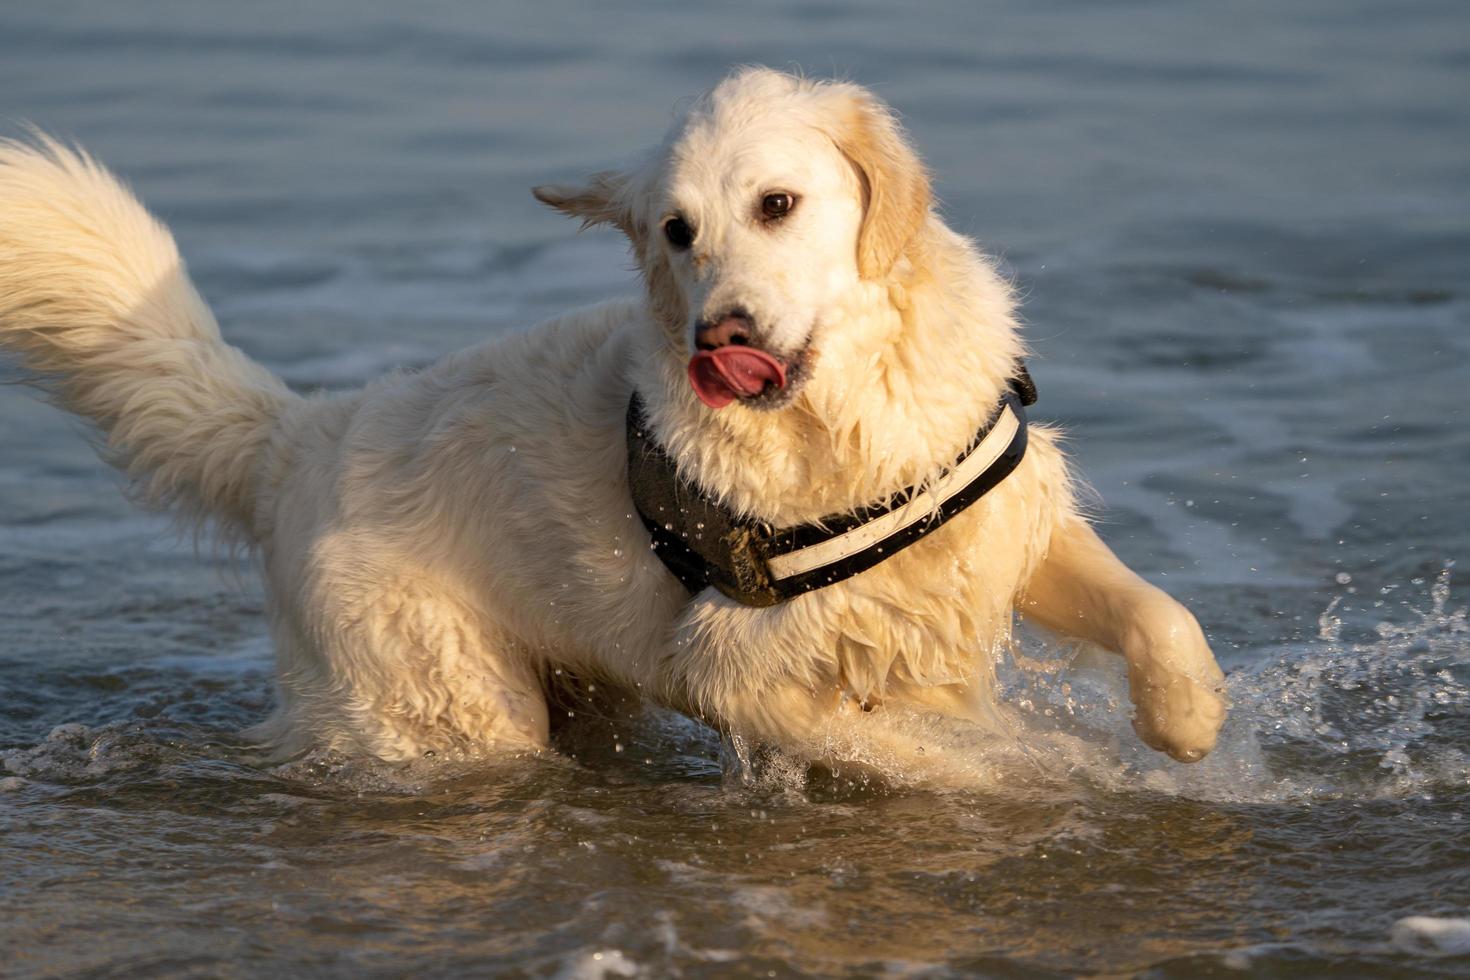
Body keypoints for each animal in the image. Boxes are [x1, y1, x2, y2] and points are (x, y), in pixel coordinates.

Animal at [0, 67, 1228, 775]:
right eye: (676, 231)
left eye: (777, 204)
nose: (719, 335)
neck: (838, 422)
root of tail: (299, 436)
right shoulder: (743, 673)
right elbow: (962, 761)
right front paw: (1048, 773)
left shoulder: (989, 526)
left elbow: (1154, 609)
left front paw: (1188, 718)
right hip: (455, 701)